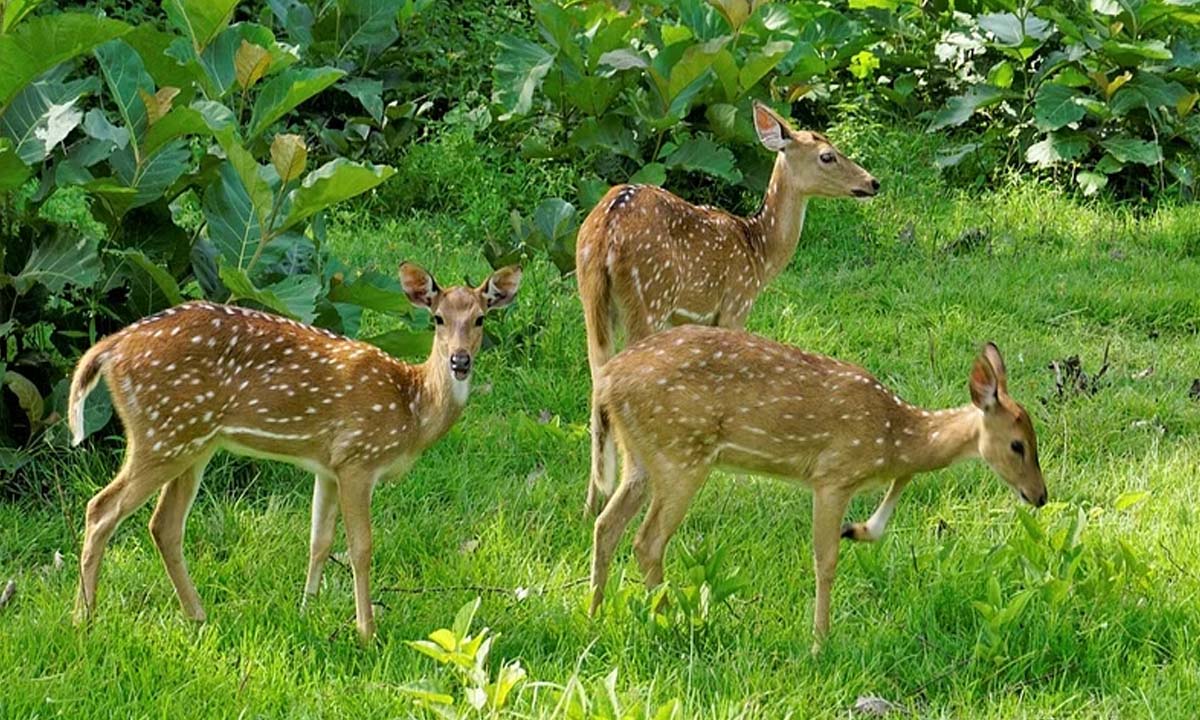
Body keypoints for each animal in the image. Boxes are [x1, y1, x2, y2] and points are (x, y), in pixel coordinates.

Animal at [70, 262, 520, 643]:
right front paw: (366, 632)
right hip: (162, 434)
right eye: (437, 318)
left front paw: (307, 610)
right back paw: (85, 620)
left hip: (192, 442)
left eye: (480, 318)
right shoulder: (359, 457)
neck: (410, 408)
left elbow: (319, 539)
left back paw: (196, 616)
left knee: (163, 525)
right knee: (101, 508)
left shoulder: (328, 466)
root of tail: (110, 348)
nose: (460, 361)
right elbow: (361, 548)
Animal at [578, 102, 883, 518]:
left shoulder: (688, 318)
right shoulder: (736, 303)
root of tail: (605, 228)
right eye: (827, 155)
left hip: (592, 297)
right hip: (649, 295)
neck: (759, 251)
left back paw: (592, 502)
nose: (873, 183)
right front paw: (743, 485)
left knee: (597, 375)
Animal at [585, 328, 1046, 652]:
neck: (894, 435)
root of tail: (605, 383)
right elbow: (825, 561)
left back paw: (594, 616)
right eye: (1018, 445)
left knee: (606, 524)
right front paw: (819, 642)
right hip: (681, 453)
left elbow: (894, 496)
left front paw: (859, 530)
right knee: (647, 540)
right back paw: (669, 622)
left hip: (640, 457)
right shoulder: (833, 475)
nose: (1039, 495)